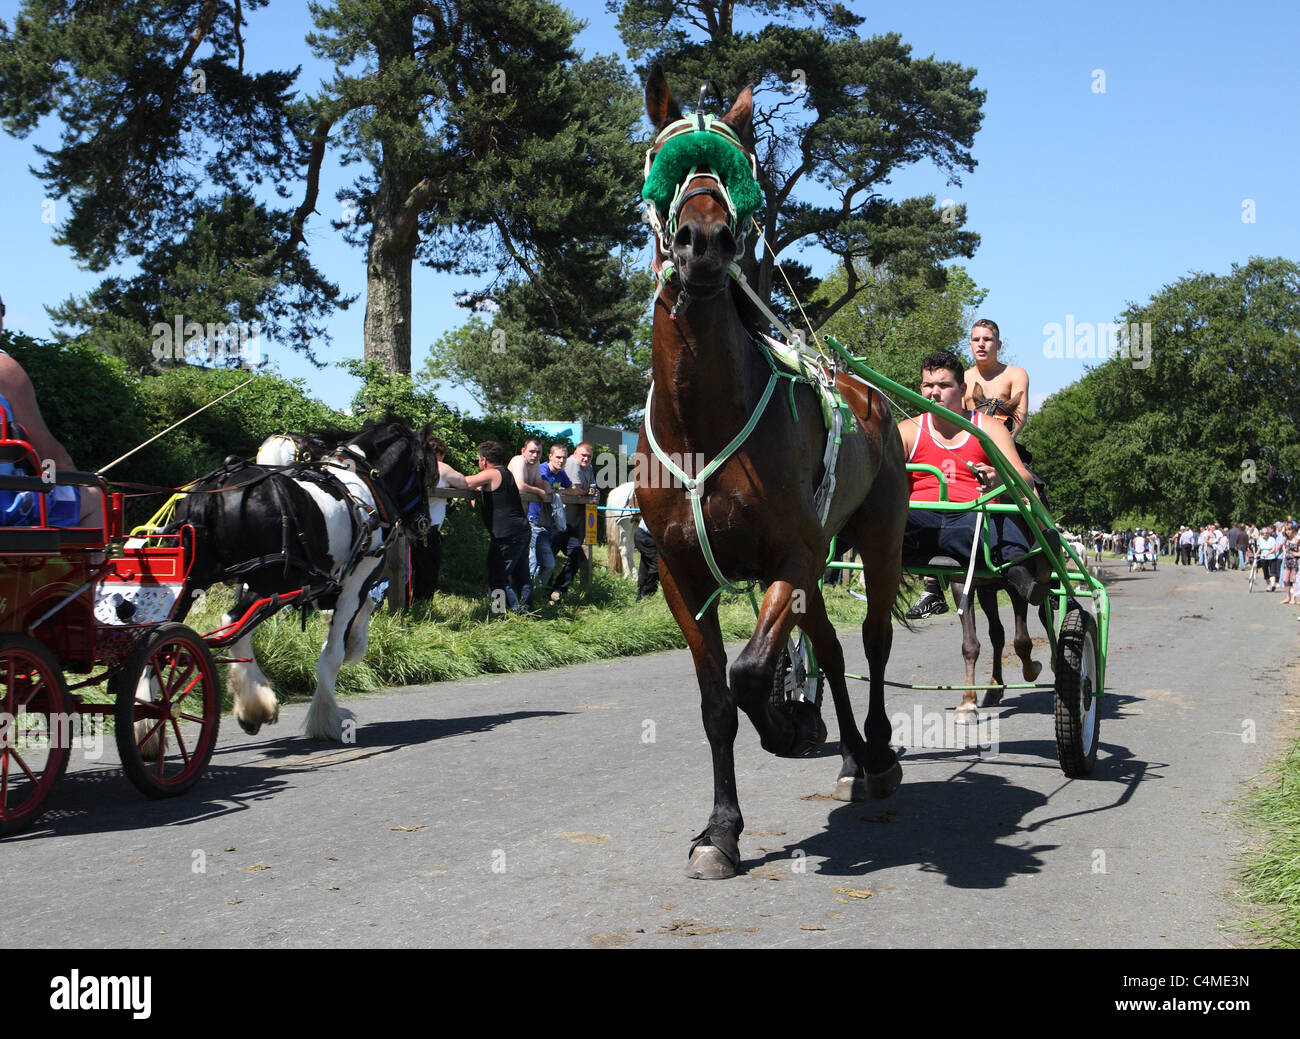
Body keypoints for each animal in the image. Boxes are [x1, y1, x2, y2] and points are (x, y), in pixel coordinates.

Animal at [172, 418, 431, 743]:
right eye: (426, 470)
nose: (424, 523)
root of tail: (218, 489)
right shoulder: (354, 581)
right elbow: (333, 652)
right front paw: (327, 717)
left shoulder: (326, 586)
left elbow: (361, 614)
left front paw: (353, 644)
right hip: (266, 585)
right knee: (230, 624)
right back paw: (255, 705)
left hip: (195, 579)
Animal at [634, 66, 909, 879]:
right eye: (667, 163)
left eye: (734, 168)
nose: (704, 241)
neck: (703, 423)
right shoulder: (680, 574)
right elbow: (717, 702)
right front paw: (721, 830)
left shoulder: (791, 553)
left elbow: (753, 672)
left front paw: (787, 725)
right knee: (830, 647)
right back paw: (852, 757)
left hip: (877, 539)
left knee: (872, 639)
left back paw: (877, 751)